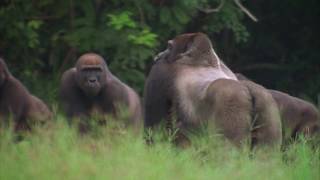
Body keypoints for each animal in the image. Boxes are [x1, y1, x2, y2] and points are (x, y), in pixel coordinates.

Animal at [144, 32, 282, 148]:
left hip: (233, 101)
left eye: (169, 46)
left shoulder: (160, 71)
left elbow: (154, 129)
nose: (158, 55)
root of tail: (249, 90)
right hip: (266, 103)